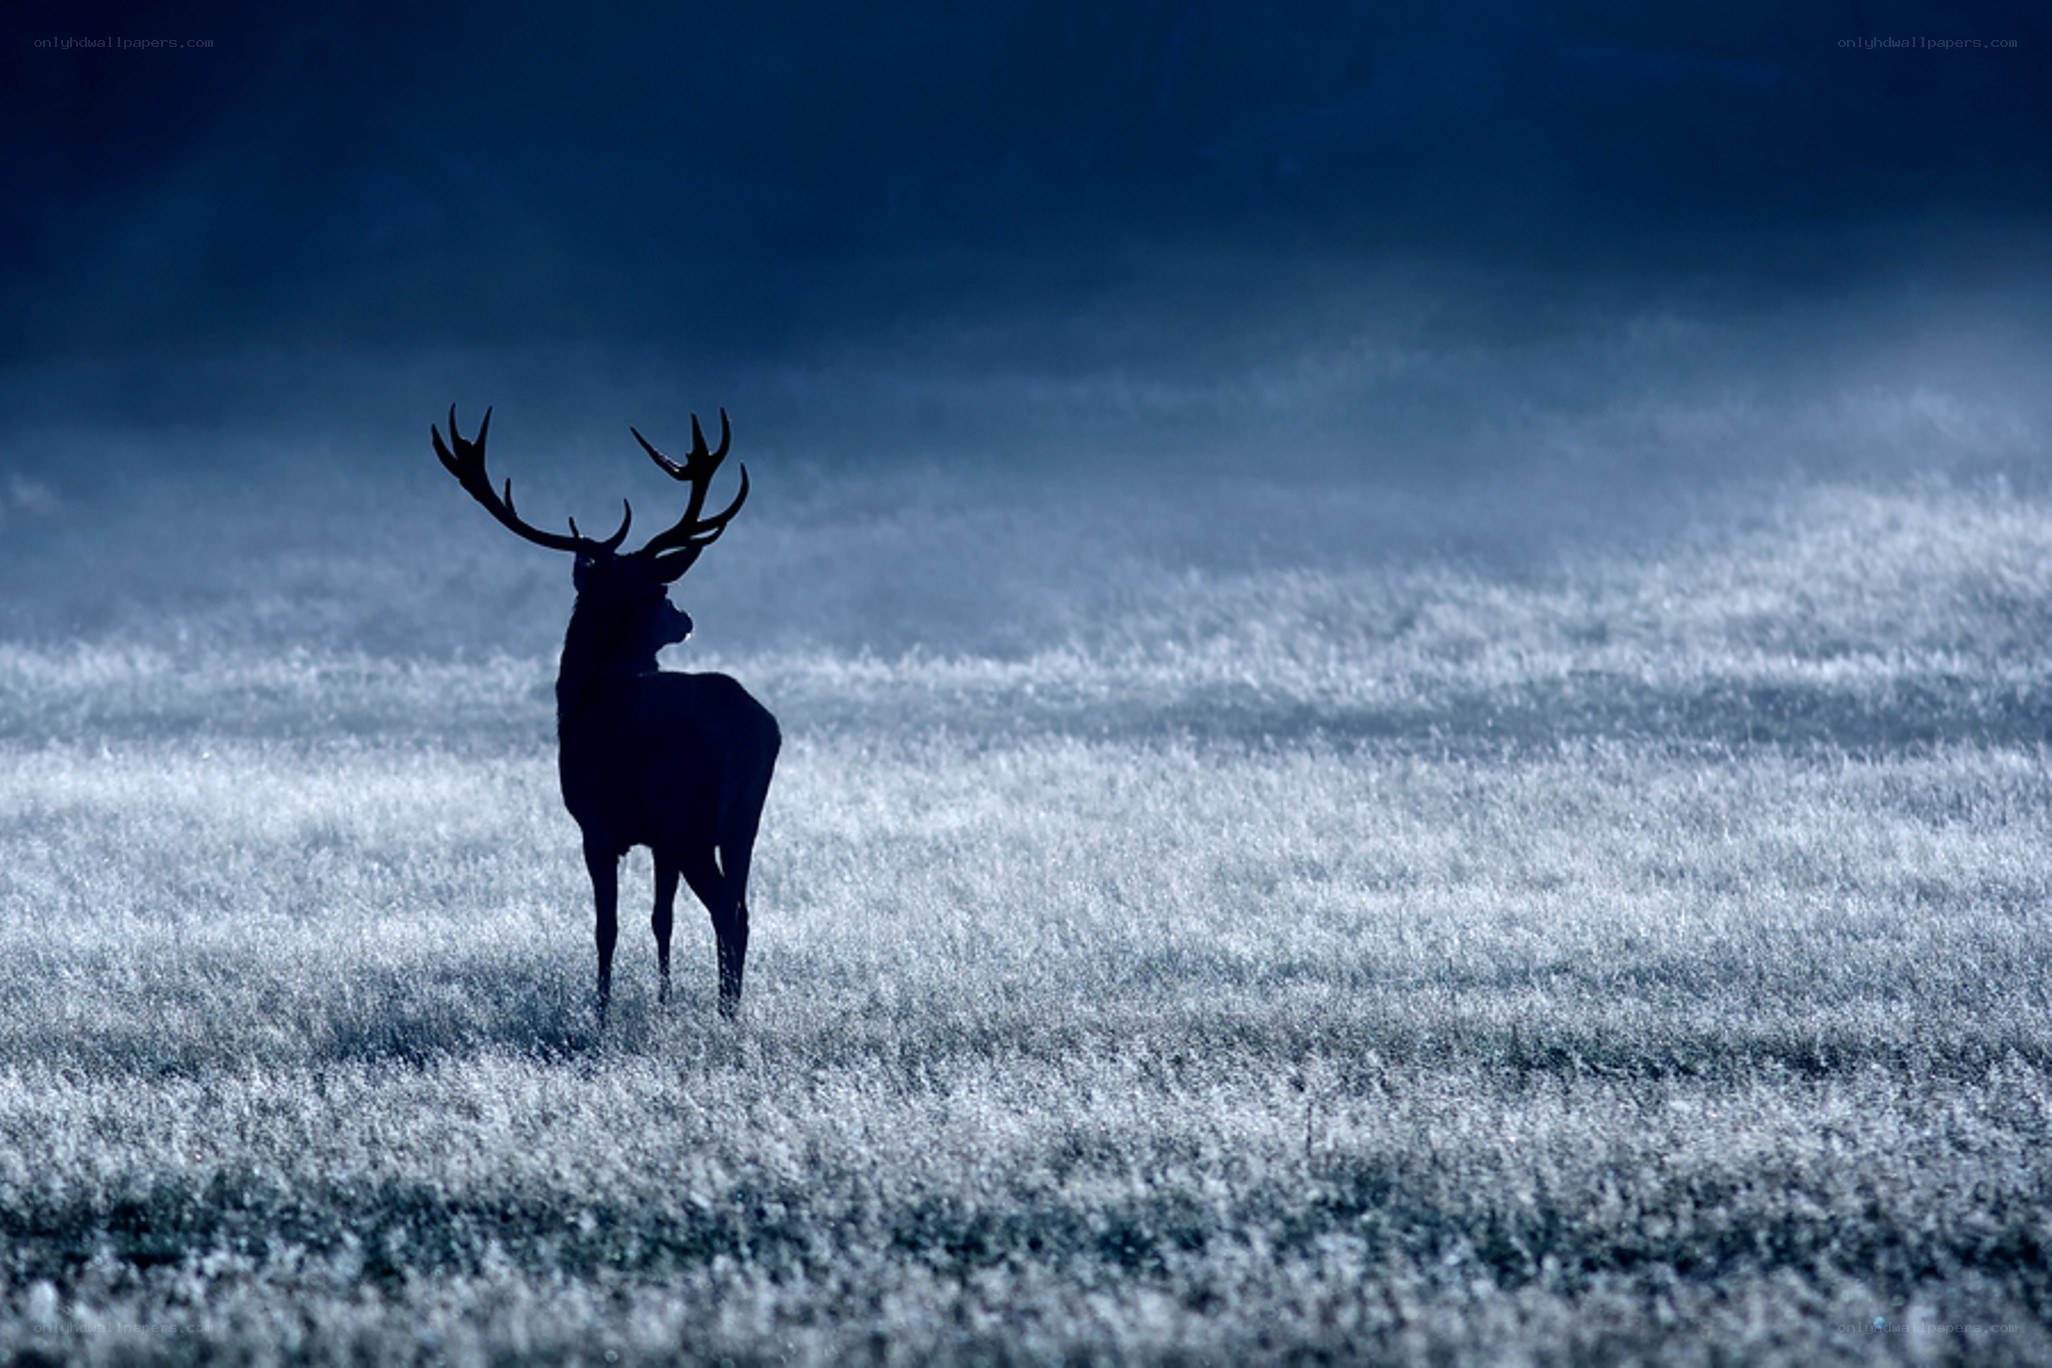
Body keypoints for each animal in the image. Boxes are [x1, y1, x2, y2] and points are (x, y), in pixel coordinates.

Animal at [431, 405, 779, 1023]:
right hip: (743, 820)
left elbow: (606, 926)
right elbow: (661, 920)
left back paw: (726, 1012)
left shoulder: (596, 823)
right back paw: (730, 1004)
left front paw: (600, 1009)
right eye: (661, 591)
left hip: (689, 816)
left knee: (726, 910)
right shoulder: (658, 839)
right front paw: (663, 999)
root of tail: (755, 728)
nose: (685, 618)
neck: (582, 696)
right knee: (742, 907)